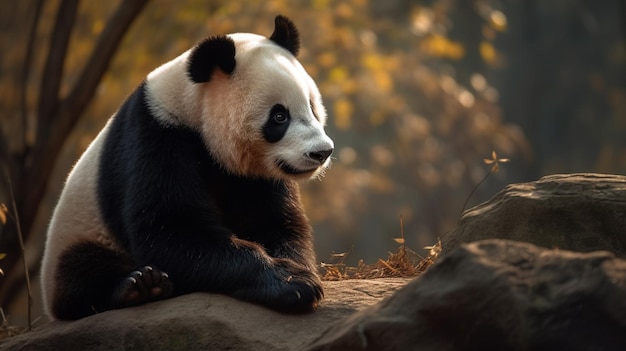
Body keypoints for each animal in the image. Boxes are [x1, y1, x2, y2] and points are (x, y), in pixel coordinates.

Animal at [41, 16, 334, 322]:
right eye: (279, 116)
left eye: (312, 107)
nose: (321, 152)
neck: (191, 107)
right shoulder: (157, 136)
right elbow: (172, 229)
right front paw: (292, 283)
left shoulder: (254, 174)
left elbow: (274, 221)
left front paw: (298, 273)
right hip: (80, 229)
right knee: (82, 273)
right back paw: (139, 286)